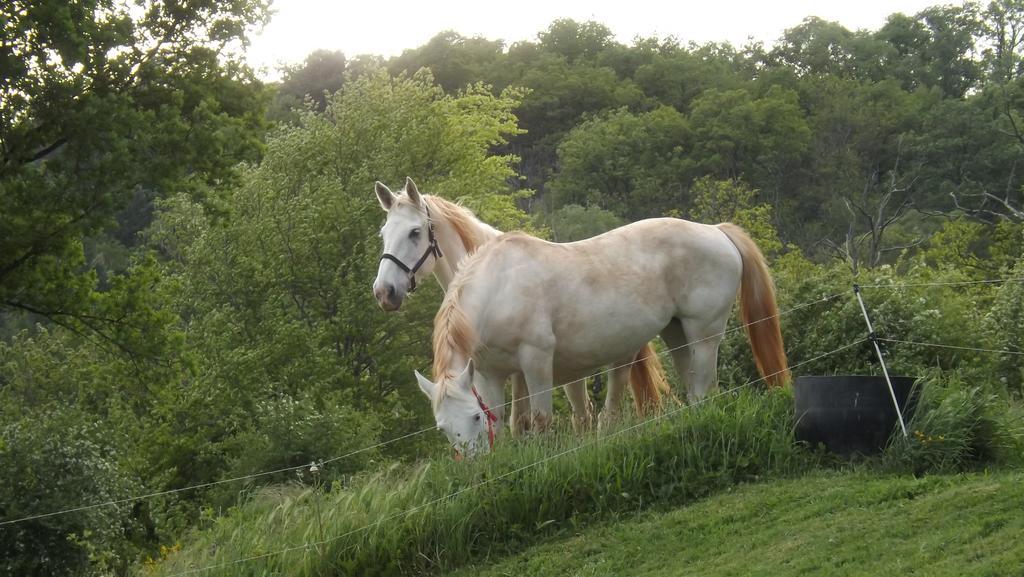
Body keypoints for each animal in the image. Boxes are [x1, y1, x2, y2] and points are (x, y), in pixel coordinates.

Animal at [372, 178, 667, 436]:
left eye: (415, 232)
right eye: (384, 233)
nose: (384, 292)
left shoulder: (520, 371)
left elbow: (520, 421)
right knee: (583, 415)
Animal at [411, 223, 786, 459]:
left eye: (473, 418)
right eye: (443, 428)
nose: (477, 467)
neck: (497, 289)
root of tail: (716, 231)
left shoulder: (536, 362)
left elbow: (541, 419)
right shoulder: (490, 375)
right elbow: (502, 422)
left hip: (704, 335)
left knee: (705, 386)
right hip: (677, 333)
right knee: (696, 390)